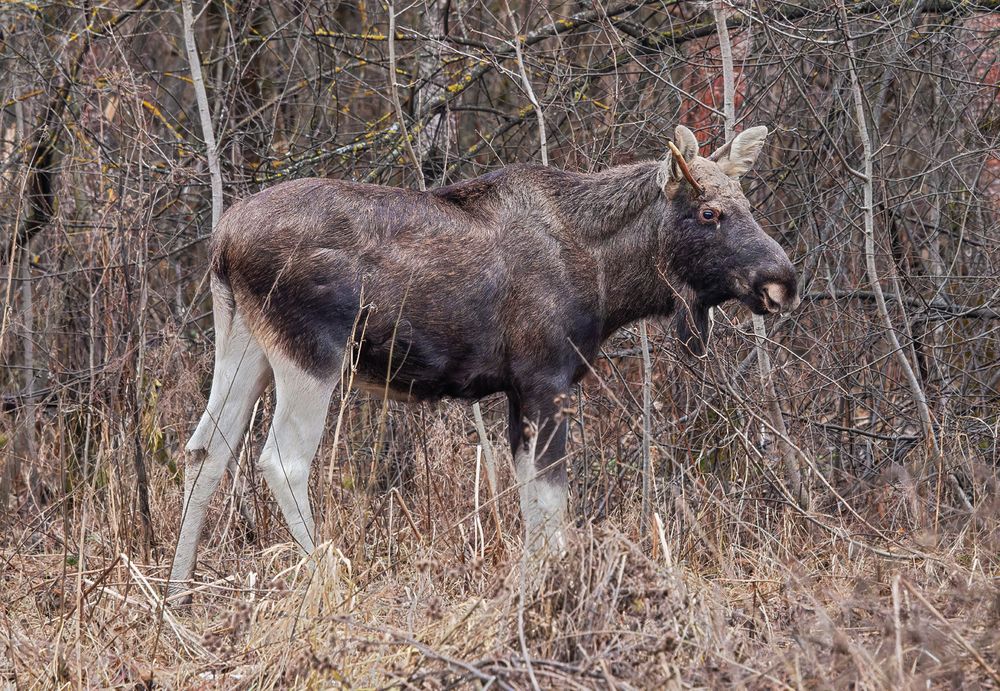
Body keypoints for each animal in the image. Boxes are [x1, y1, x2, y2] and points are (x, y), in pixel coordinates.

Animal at [167, 124, 799, 601]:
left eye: (746, 204)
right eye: (711, 213)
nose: (782, 280)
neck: (610, 281)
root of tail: (221, 241)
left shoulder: (520, 391)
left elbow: (533, 505)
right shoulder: (547, 377)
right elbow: (552, 506)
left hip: (245, 343)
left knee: (206, 450)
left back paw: (176, 595)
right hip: (312, 352)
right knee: (280, 459)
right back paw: (328, 581)